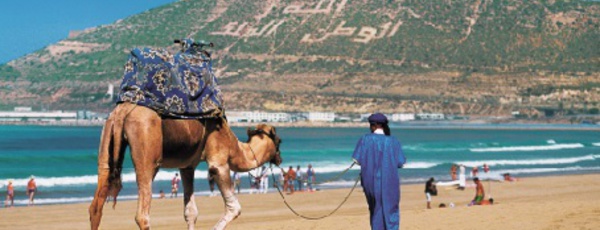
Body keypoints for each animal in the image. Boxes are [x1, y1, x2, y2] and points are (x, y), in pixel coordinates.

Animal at [88, 103, 282, 230]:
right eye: (279, 141)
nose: (279, 159)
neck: (234, 146)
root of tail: (123, 111)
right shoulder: (218, 162)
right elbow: (234, 208)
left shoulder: (187, 167)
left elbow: (191, 212)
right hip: (146, 151)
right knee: (142, 216)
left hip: (107, 138)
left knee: (96, 206)